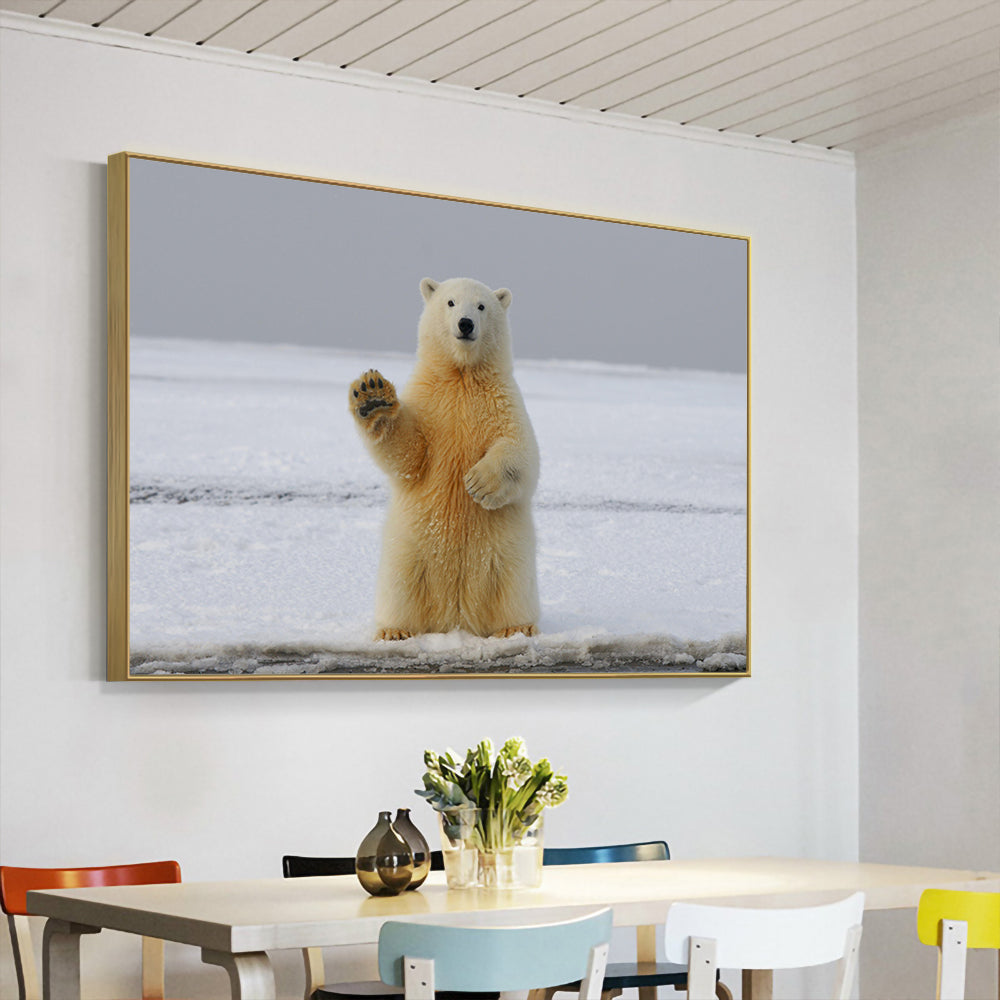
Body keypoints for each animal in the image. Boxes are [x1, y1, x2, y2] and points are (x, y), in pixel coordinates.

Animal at [349, 277, 540, 641]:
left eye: (481, 306)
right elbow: (410, 454)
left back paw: (516, 627)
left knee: (512, 586)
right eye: (450, 302)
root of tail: (456, 617)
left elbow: (521, 451)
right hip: (408, 548)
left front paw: (478, 483)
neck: (462, 375)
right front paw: (373, 396)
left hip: (509, 553)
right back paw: (394, 630)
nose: (465, 324)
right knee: (400, 586)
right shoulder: (430, 401)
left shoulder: (503, 402)